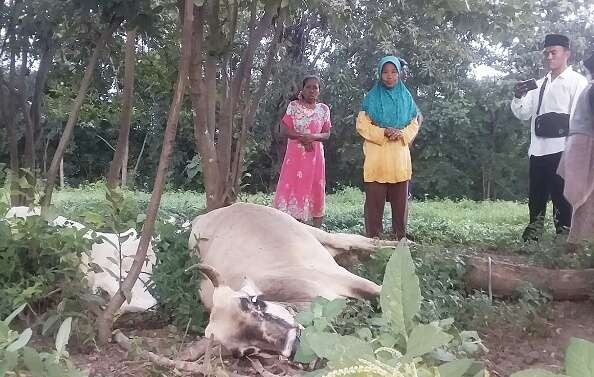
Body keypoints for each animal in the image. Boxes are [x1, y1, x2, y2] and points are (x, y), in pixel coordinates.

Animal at [185, 203, 388, 358]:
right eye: (246, 351)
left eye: (254, 304)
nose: (292, 345)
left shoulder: (344, 279)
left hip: (316, 233)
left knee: (356, 240)